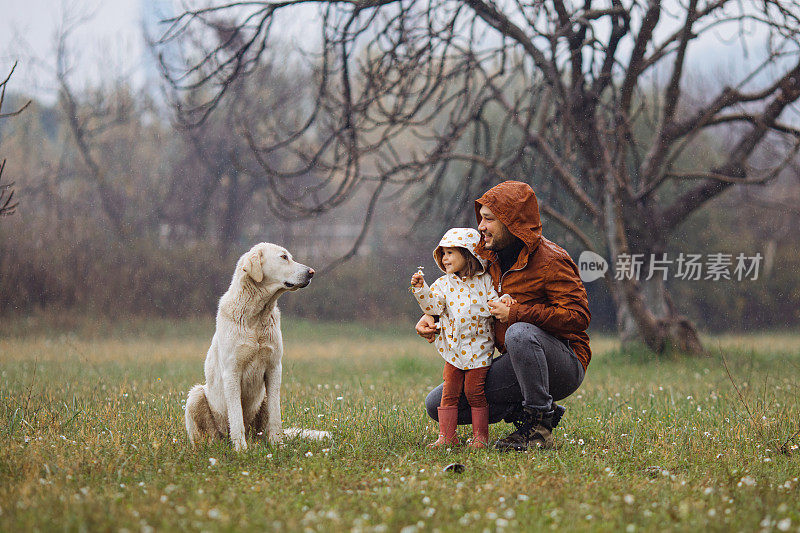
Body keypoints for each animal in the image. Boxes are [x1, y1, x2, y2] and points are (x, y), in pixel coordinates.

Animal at [185, 243, 318, 450]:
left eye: (290, 256)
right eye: (283, 257)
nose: (311, 272)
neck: (257, 316)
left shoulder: (274, 369)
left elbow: (275, 415)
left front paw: (278, 446)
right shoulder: (232, 373)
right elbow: (236, 417)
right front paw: (241, 449)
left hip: (262, 399)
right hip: (196, 394)